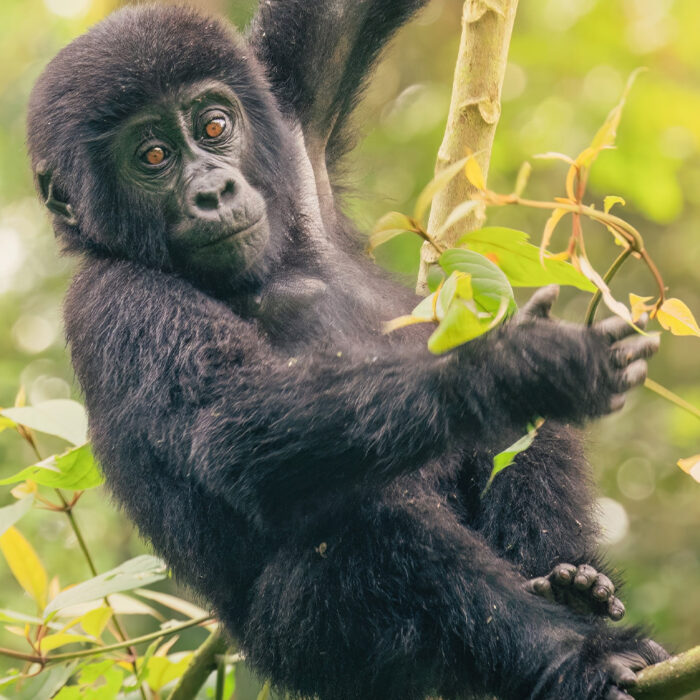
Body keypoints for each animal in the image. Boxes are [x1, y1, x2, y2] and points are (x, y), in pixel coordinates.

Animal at [28, 4, 668, 700]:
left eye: (215, 126)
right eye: (153, 155)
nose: (214, 191)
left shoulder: (291, 128)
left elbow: (336, 22)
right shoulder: (114, 301)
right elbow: (233, 432)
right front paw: (511, 369)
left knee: (520, 442)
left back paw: (573, 586)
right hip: (300, 650)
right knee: (363, 517)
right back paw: (574, 655)